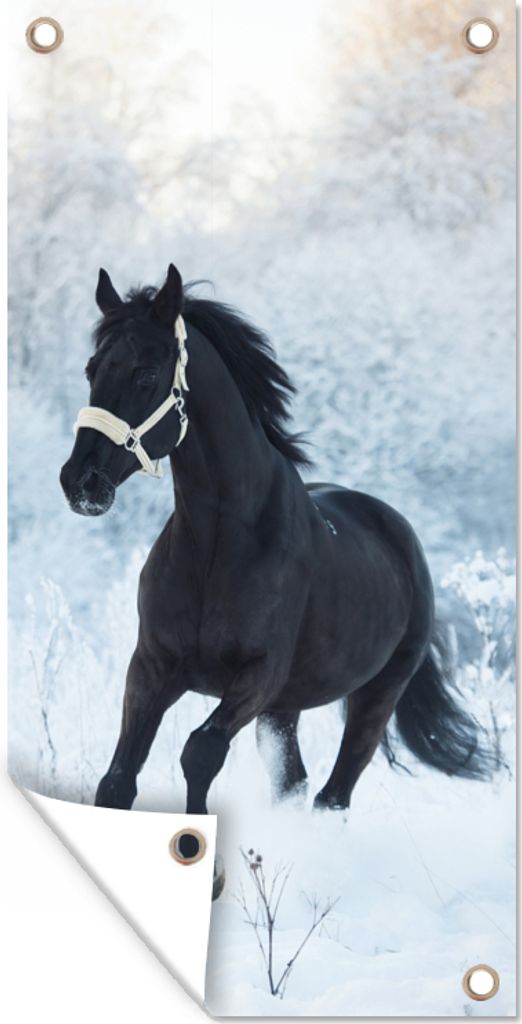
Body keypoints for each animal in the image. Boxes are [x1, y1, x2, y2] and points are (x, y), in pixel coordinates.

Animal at [60, 264, 491, 817]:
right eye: (92, 369)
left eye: (146, 375)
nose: (80, 482)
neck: (219, 545)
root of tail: (400, 535)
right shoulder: (152, 668)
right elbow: (116, 781)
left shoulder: (258, 676)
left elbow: (200, 753)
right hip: (285, 710)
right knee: (296, 783)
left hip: (375, 697)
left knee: (332, 795)